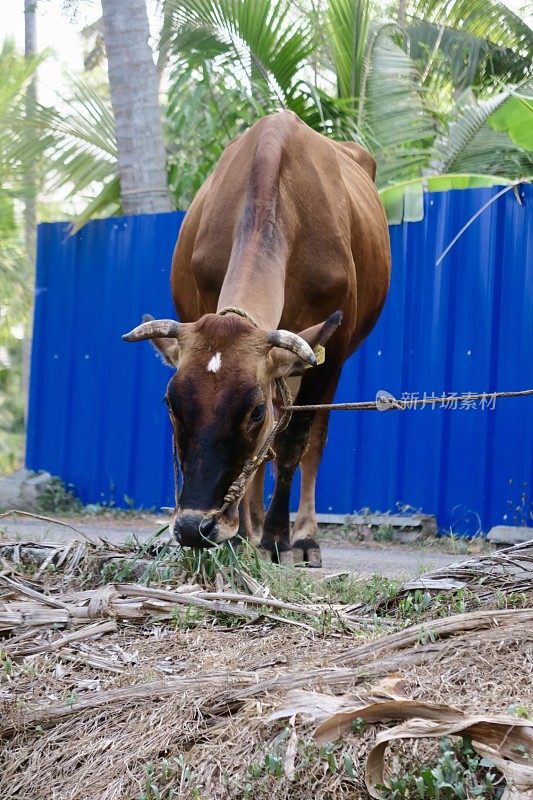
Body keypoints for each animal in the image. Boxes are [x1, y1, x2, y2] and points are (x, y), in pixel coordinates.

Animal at [124, 109, 390, 564]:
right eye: (170, 404)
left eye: (254, 412)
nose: (194, 527)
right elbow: (264, 452)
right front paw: (244, 537)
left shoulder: (328, 354)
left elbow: (293, 442)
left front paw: (278, 538)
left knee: (309, 442)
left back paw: (302, 536)